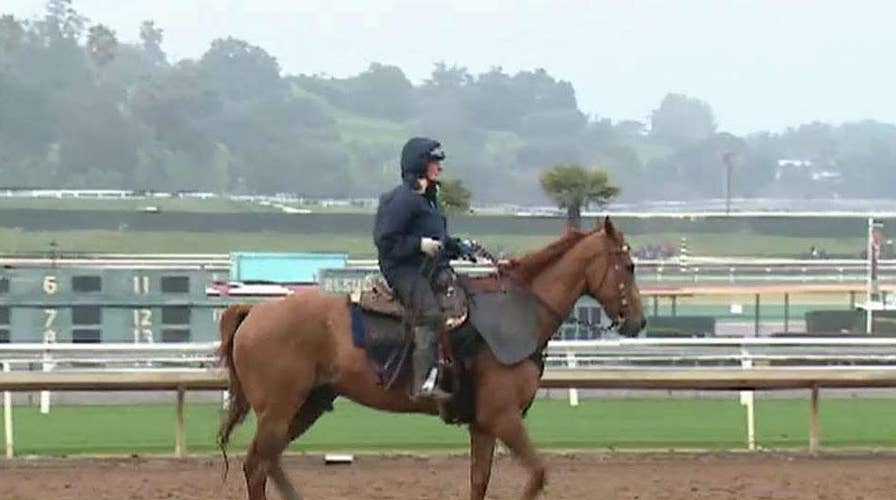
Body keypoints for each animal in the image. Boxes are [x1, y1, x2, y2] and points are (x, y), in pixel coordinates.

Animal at [217, 217, 646, 500]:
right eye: (628, 266)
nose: (638, 322)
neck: (515, 311)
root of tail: (254, 312)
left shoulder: (483, 425)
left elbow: (479, 482)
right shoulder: (503, 418)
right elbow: (538, 474)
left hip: (308, 405)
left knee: (268, 462)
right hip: (279, 409)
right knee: (256, 466)